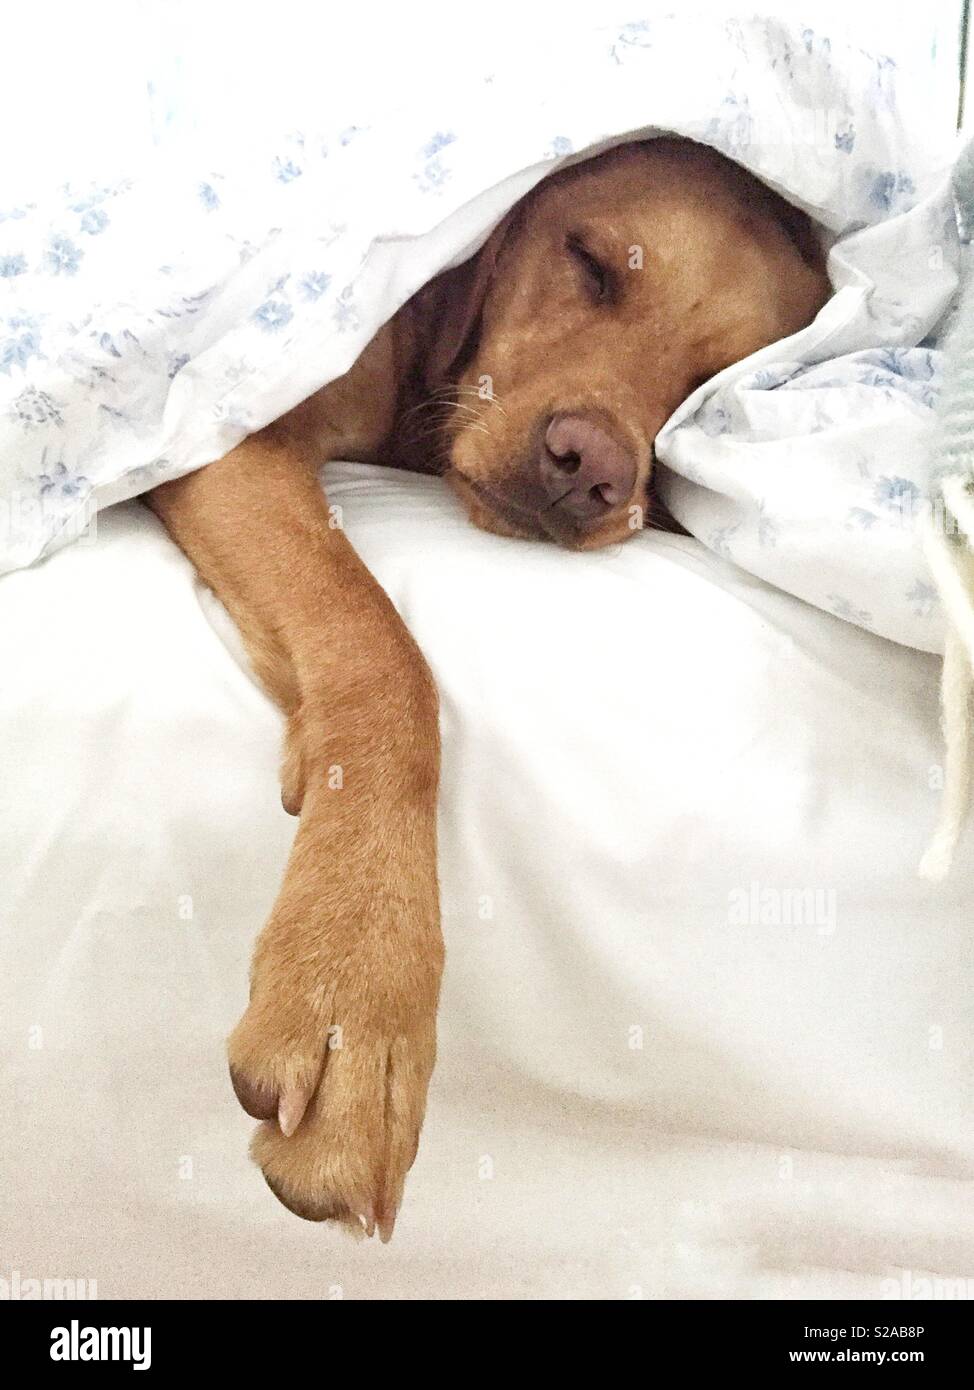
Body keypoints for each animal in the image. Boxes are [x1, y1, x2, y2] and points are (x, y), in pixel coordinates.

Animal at [144, 135, 828, 1234]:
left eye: (711, 386)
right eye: (589, 263)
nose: (590, 469)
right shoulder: (226, 434)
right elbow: (380, 648)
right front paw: (357, 988)